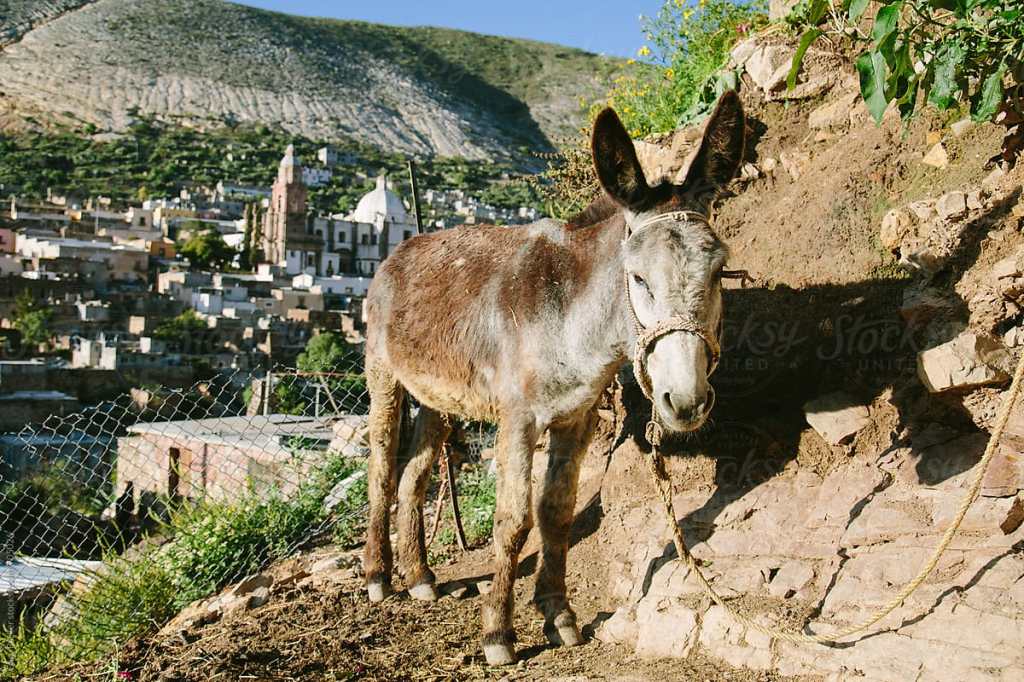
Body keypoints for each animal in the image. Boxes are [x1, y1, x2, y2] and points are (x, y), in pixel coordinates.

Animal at [362, 90, 746, 665]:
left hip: (436, 397)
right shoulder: (518, 420)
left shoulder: (577, 417)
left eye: (719, 272)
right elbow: (515, 519)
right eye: (638, 278)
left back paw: (421, 577)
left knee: (415, 475)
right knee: (383, 470)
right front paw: (498, 633)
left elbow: (557, 513)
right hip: (383, 376)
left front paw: (558, 616)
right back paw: (378, 576)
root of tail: (401, 250)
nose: (685, 402)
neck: (569, 315)